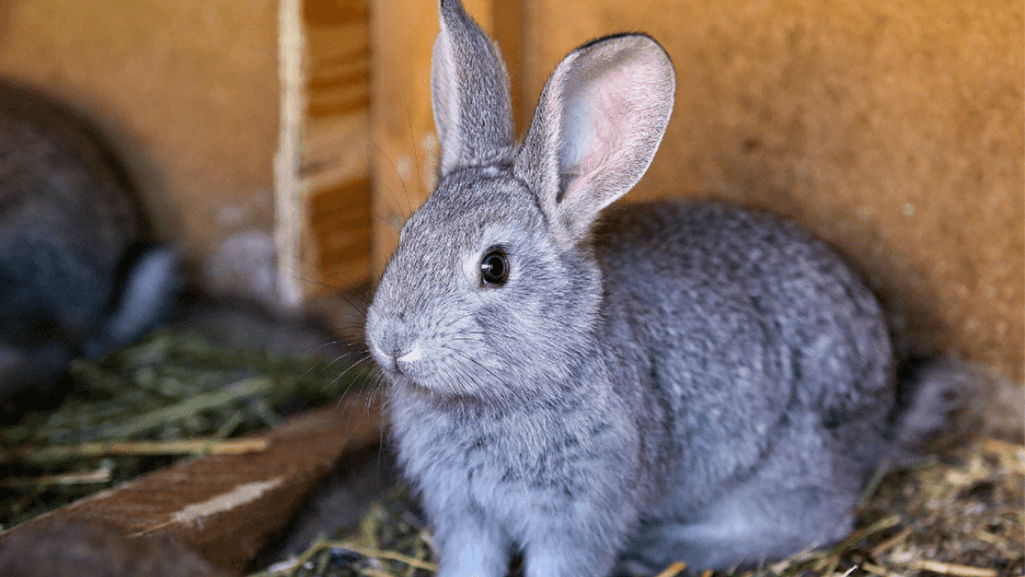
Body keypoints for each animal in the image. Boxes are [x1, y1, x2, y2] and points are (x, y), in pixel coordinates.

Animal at [364, 1, 954, 575]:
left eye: (495, 267)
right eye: (407, 234)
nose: (394, 343)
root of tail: (883, 405)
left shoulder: (579, 514)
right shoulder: (464, 512)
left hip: (785, 463)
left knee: (814, 521)